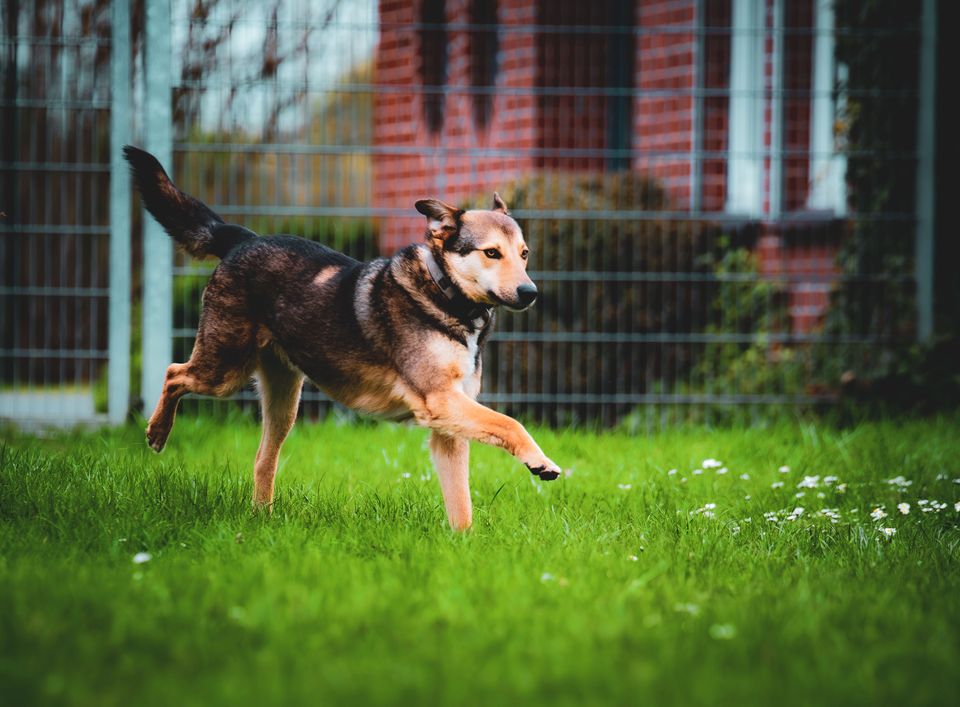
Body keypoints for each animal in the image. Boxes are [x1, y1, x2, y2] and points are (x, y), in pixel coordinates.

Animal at [125, 145, 564, 532]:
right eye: (491, 253)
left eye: (524, 253)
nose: (530, 293)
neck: (445, 295)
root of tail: (242, 238)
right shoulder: (439, 400)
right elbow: (510, 424)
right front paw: (540, 461)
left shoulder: (447, 429)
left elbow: (462, 504)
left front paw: (462, 546)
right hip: (223, 369)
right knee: (174, 373)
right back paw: (157, 432)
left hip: (284, 401)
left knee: (263, 460)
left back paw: (261, 520)